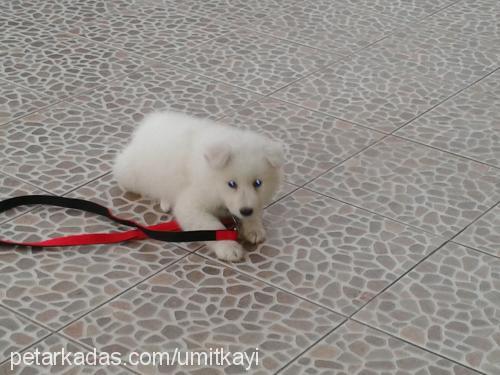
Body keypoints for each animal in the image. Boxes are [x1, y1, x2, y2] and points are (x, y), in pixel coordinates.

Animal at [114, 111, 284, 262]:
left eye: (258, 183)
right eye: (231, 184)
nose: (246, 211)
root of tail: (146, 125)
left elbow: (256, 208)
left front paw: (254, 228)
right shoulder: (191, 204)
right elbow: (212, 226)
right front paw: (229, 248)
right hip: (129, 174)